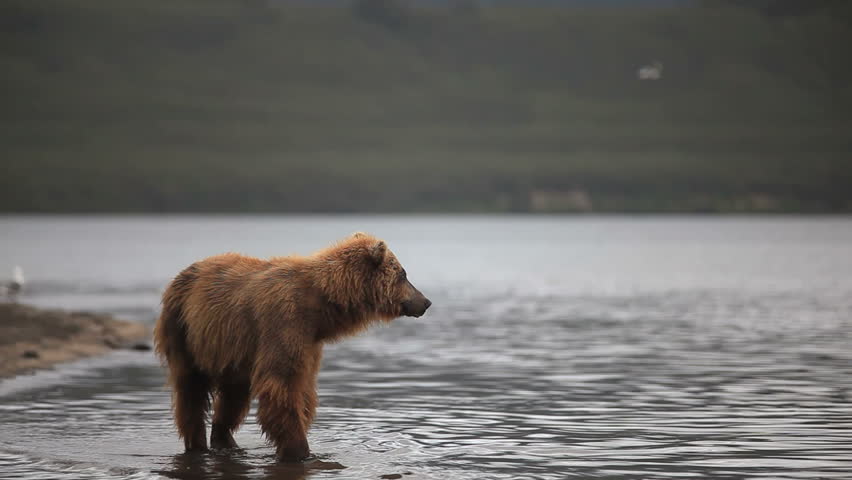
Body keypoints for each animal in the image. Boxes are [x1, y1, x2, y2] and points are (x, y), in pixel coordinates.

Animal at [153, 232, 431, 461]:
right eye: (403, 274)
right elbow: (282, 385)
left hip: (233, 351)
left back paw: (226, 441)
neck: (322, 306)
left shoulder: (310, 341)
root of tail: (182, 274)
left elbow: (302, 388)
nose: (425, 302)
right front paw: (299, 450)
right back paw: (197, 442)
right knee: (191, 389)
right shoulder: (284, 322)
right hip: (184, 330)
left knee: (234, 394)